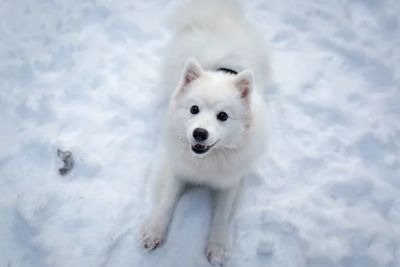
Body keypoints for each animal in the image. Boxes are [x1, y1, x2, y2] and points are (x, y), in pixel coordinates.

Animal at [141, 0, 268, 266]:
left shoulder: (230, 182)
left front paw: (217, 248)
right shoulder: (177, 169)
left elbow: (221, 216)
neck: (206, 162)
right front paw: (154, 232)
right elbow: (166, 202)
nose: (199, 133)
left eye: (223, 116)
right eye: (194, 109)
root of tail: (217, 17)